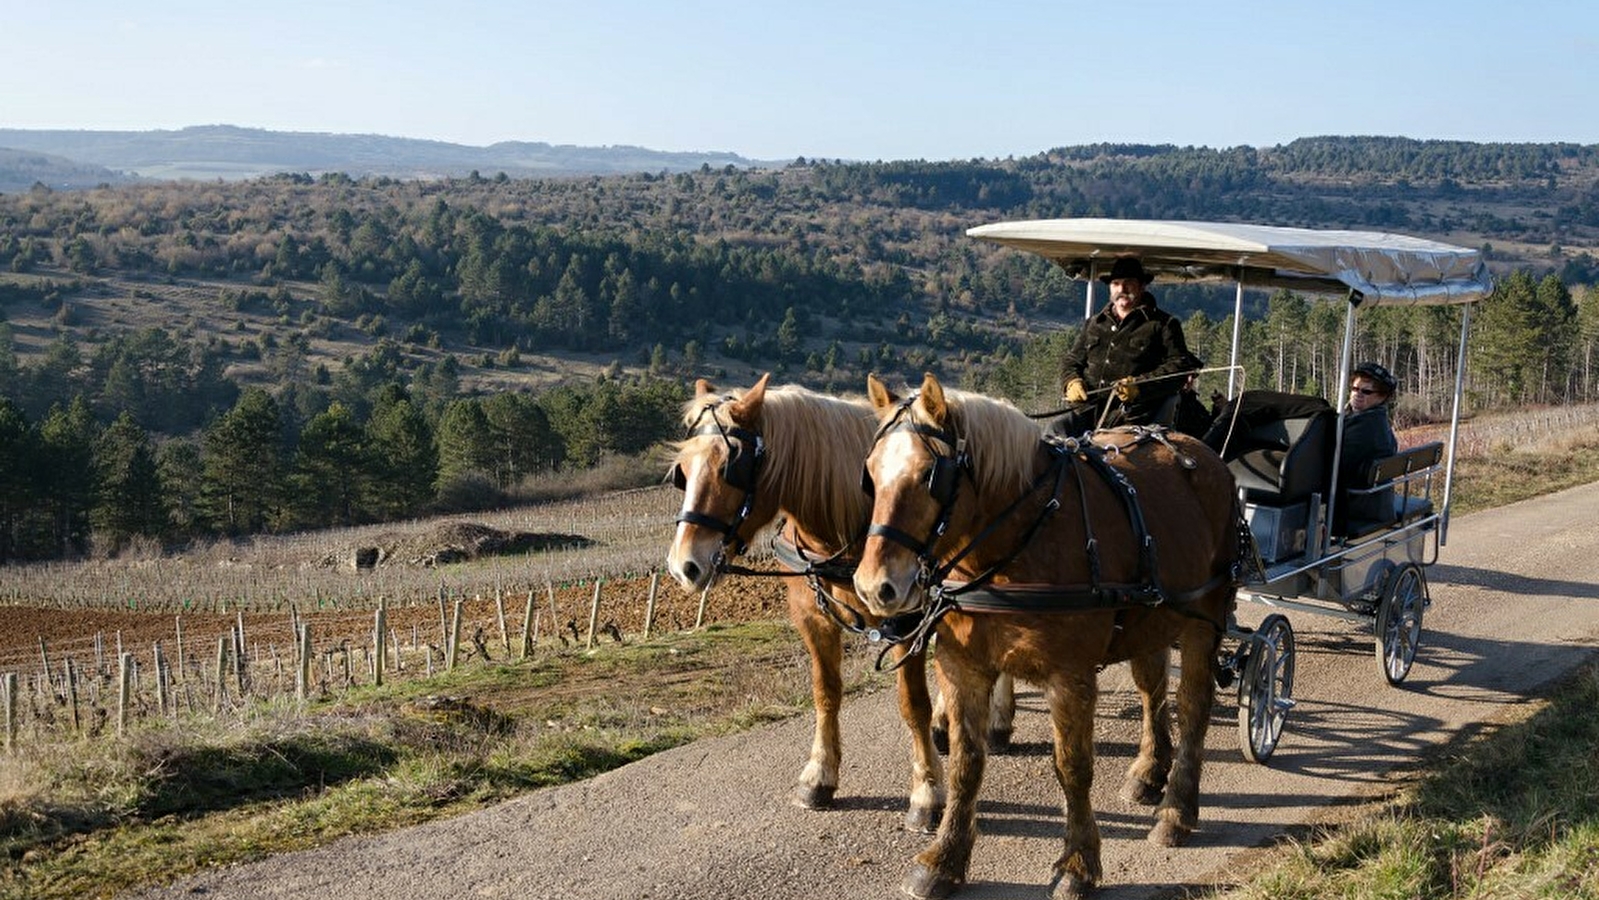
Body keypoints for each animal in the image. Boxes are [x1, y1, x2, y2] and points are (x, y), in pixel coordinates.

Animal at [665, 374, 1016, 831]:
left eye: (730, 468)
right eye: (683, 472)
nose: (683, 566)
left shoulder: (903, 622)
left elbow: (912, 704)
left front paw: (926, 792)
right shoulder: (813, 618)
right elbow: (826, 692)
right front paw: (819, 776)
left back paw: (999, 721)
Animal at [857, 370, 1240, 900]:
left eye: (929, 475)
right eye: (871, 473)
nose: (875, 587)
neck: (1019, 538)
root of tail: (1202, 452)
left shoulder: (1070, 676)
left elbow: (1073, 767)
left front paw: (1078, 863)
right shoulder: (961, 667)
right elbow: (966, 763)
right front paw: (944, 859)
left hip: (1206, 615)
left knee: (1193, 706)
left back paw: (1177, 810)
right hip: (1152, 619)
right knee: (1152, 690)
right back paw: (1149, 771)